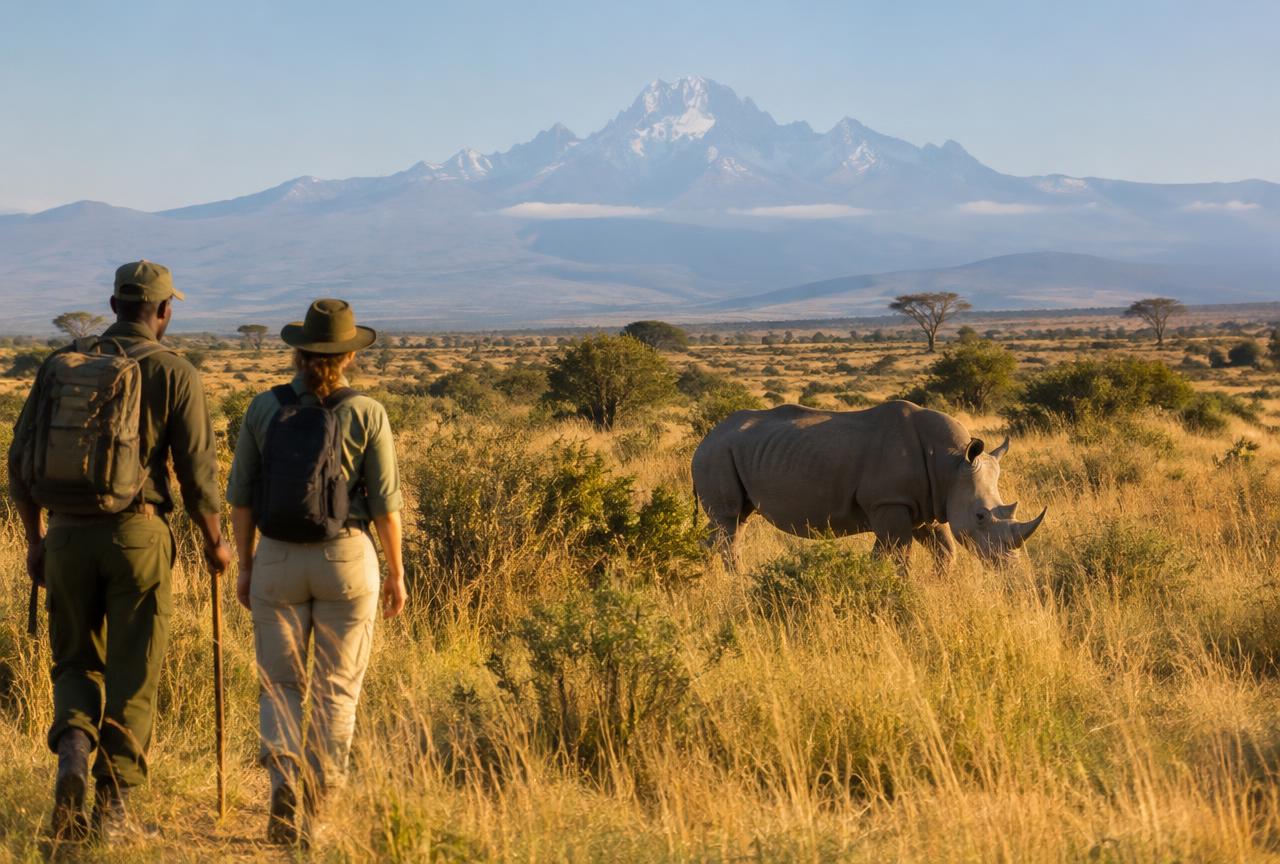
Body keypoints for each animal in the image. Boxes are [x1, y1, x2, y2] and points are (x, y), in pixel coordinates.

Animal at [692, 400, 1044, 567]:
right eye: (980, 516)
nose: (1007, 565)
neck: (952, 462)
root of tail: (706, 437)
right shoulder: (890, 501)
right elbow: (899, 554)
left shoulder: (928, 504)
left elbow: (943, 552)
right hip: (717, 454)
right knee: (729, 522)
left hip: (730, 452)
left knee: (734, 521)